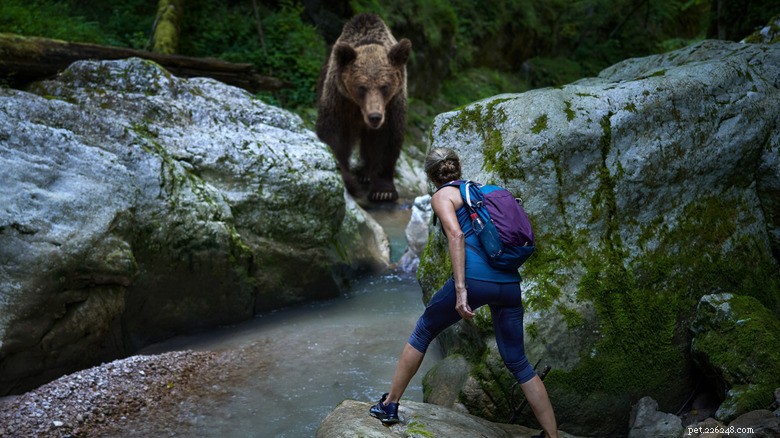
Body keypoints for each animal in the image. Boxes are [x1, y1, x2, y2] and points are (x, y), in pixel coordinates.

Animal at [316, 13, 411, 202]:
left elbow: (386, 140)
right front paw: (348, 181)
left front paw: (383, 191)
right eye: (361, 87)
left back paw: (366, 174)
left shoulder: (392, 105)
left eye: (384, 86)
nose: (374, 117)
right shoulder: (340, 100)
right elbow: (334, 136)